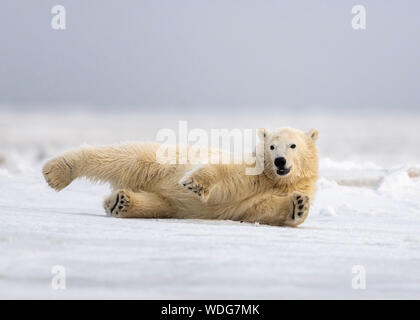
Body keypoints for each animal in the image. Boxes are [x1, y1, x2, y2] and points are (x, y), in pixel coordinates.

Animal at [42, 127, 318, 228]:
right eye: (272, 146)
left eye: (293, 145)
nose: (280, 161)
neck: (275, 179)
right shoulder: (253, 171)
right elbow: (224, 172)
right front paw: (195, 184)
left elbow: (261, 210)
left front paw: (298, 205)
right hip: (160, 163)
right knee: (123, 158)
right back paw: (56, 172)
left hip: (166, 200)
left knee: (156, 204)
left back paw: (119, 202)